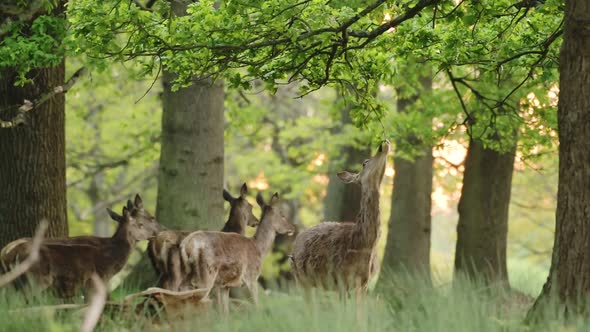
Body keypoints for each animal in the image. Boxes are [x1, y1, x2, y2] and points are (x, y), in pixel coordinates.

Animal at [0, 193, 163, 300]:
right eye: (149, 219)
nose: (163, 229)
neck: (111, 261)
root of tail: (7, 253)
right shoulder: (93, 282)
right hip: (36, 278)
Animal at [292, 140, 394, 296]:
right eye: (364, 162)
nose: (383, 144)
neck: (363, 244)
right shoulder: (340, 278)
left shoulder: (364, 283)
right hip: (301, 279)